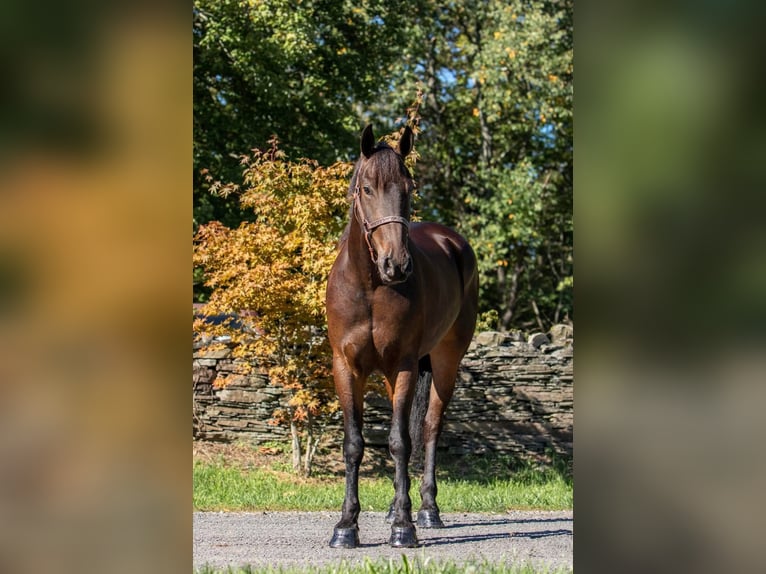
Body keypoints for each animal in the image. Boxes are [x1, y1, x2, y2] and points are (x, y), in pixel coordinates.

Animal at [326, 125, 480, 548]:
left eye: (408, 188)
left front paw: (404, 528)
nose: (396, 264)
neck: (370, 287)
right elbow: (354, 443)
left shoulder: (405, 366)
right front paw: (346, 526)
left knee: (429, 428)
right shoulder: (346, 367)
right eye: (366, 189)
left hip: (445, 361)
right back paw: (397, 506)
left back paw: (426, 510)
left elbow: (399, 440)